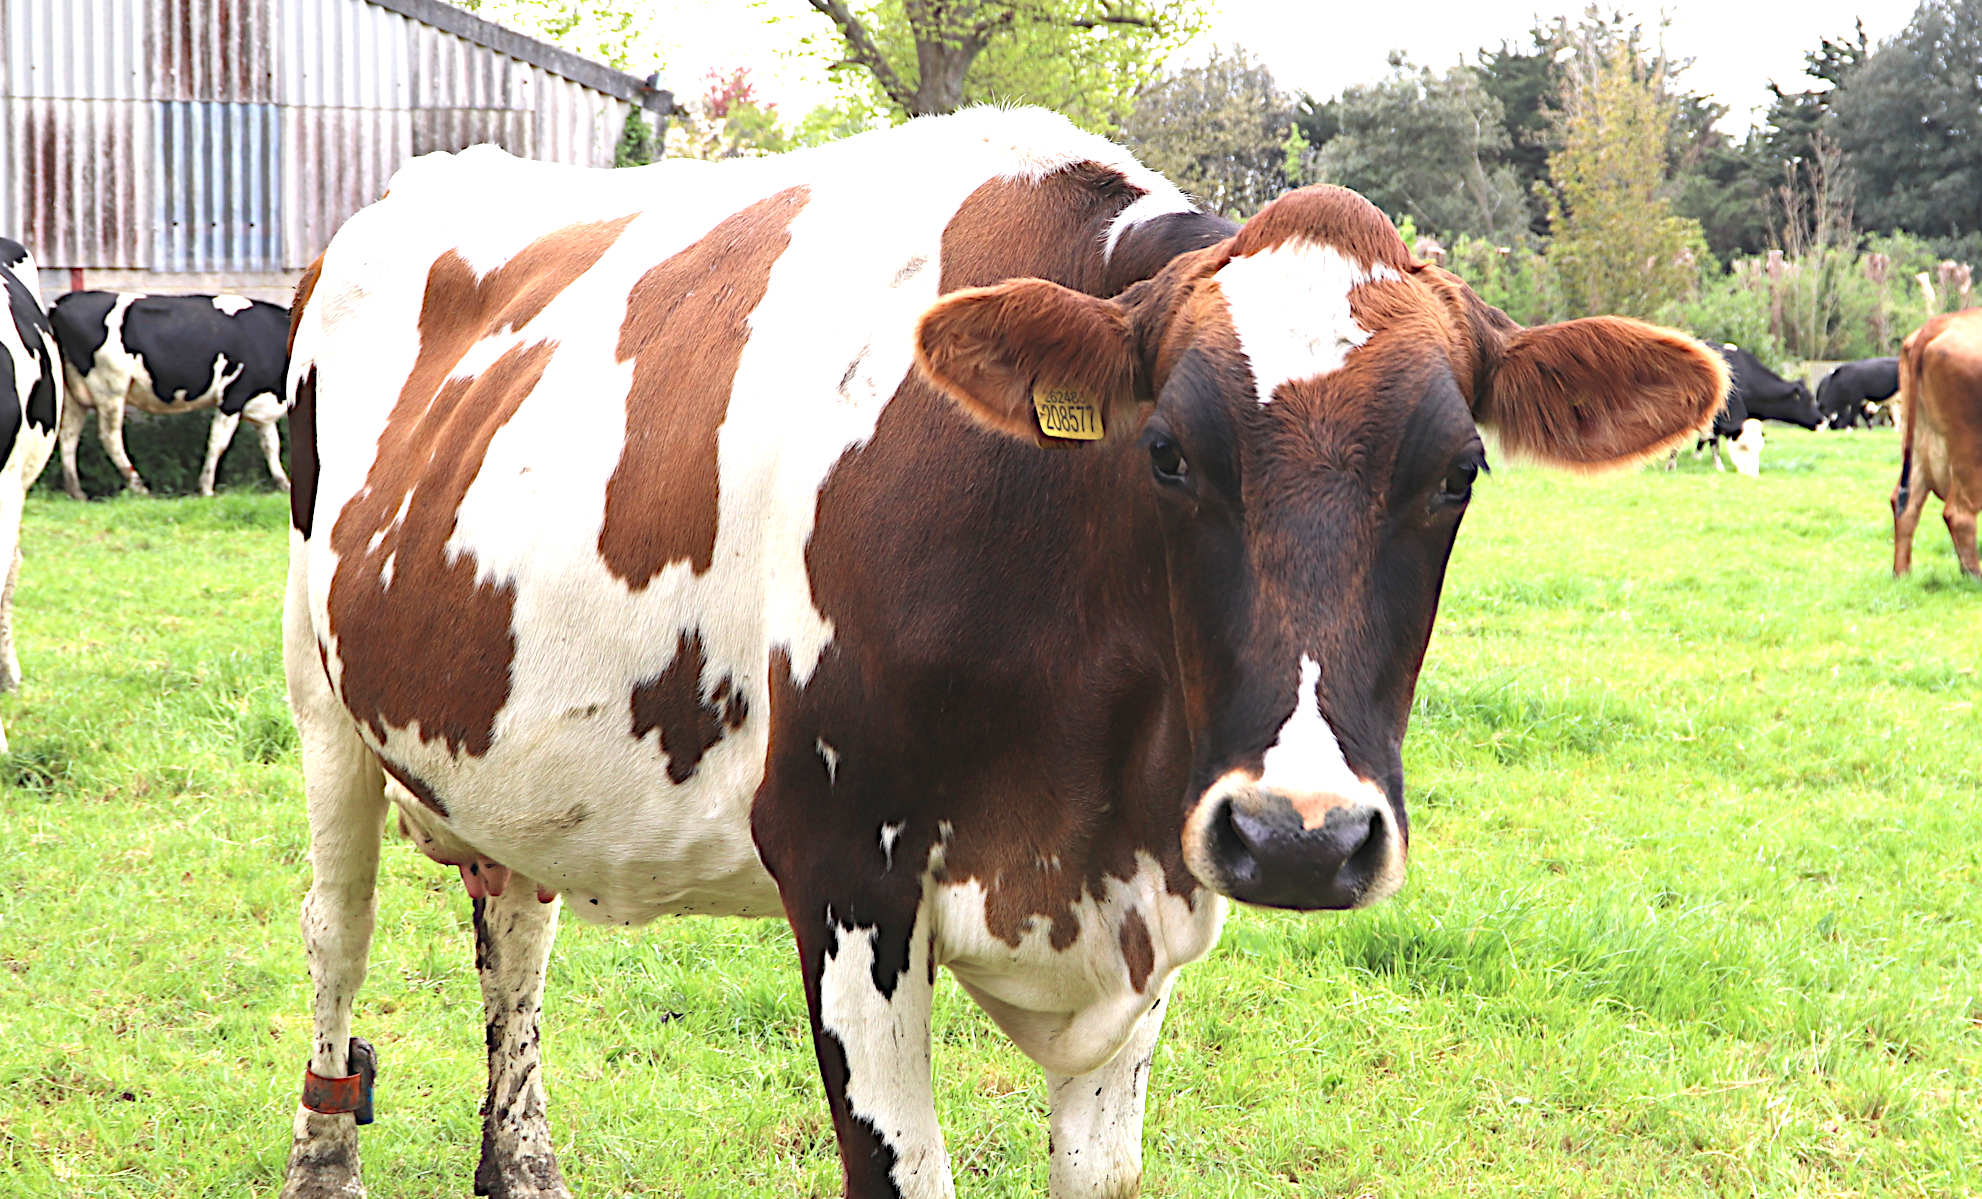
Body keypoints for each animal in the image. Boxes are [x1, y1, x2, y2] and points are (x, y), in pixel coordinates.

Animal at [50, 289, 291, 495]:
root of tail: (62, 302)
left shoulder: (262, 406)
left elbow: (272, 446)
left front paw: (285, 485)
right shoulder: (233, 396)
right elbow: (218, 443)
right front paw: (206, 489)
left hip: (74, 393)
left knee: (68, 434)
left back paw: (76, 491)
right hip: (111, 388)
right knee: (110, 437)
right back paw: (138, 487)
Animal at [275, 105, 1720, 1197]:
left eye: (1455, 474)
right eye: (1167, 452)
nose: (1302, 834)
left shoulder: (1152, 896)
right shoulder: (841, 859)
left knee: (514, 929)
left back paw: (522, 1164)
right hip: (321, 696)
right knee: (336, 931)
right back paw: (323, 1159)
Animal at [1886, 309, 1982, 578]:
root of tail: (1939, 323)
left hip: (1916, 443)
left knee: (1906, 503)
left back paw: (1902, 575)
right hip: (1971, 451)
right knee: (1959, 513)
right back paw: (1974, 576)